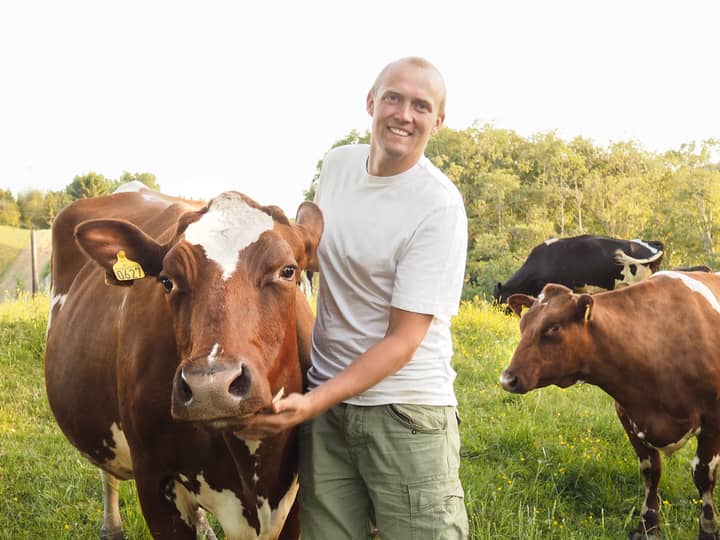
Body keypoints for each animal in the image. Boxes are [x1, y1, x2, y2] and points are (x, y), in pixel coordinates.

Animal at [500, 272, 720, 540]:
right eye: (523, 324)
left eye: (554, 327)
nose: (507, 379)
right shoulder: (629, 415)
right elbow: (651, 471)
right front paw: (647, 525)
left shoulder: (712, 420)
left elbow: (703, 476)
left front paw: (708, 530)